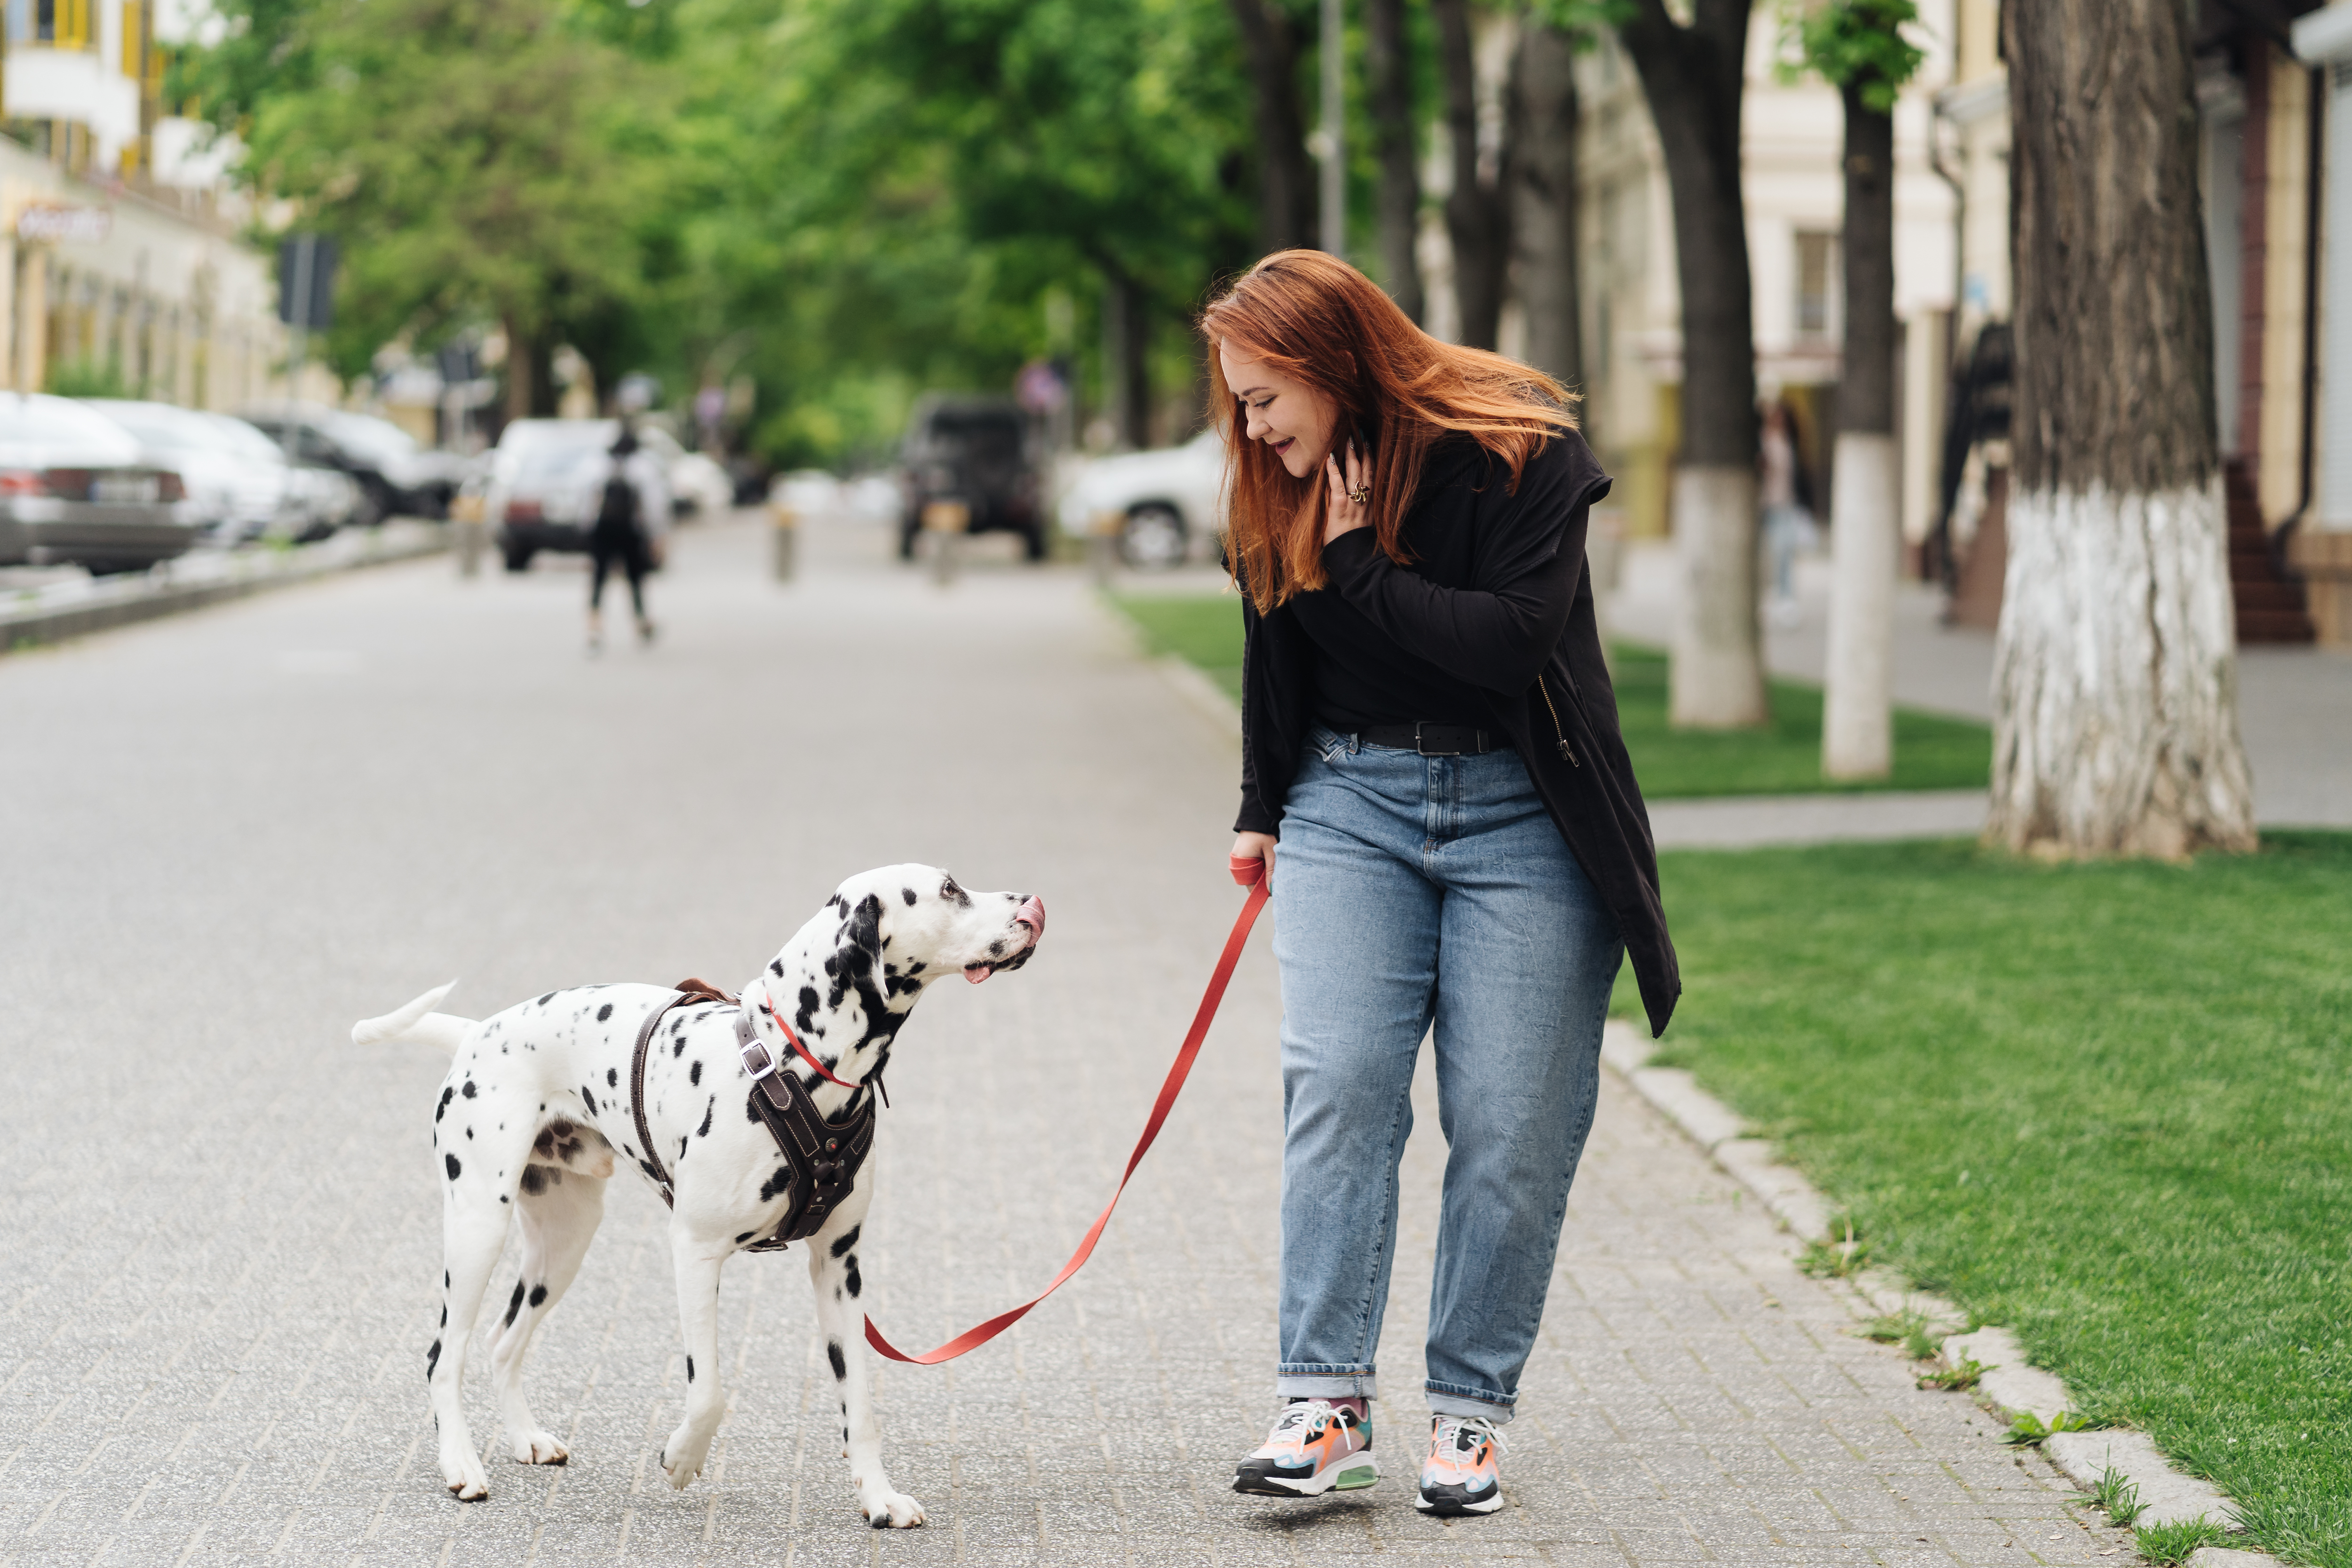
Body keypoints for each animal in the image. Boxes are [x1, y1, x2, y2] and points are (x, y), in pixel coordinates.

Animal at [350, 865, 1049, 1523]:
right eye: (950, 889)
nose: (1036, 904)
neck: (795, 1063)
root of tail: (476, 1032)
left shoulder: (839, 1267)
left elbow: (861, 1405)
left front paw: (879, 1498)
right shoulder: (695, 1250)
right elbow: (709, 1389)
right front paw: (683, 1458)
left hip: (564, 1242)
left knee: (502, 1342)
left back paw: (525, 1436)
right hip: (478, 1229)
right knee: (445, 1355)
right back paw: (460, 1464)